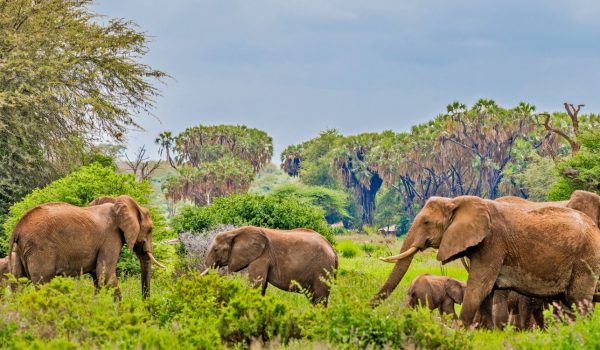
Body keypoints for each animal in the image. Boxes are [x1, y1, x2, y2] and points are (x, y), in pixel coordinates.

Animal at [9, 194, 164, 298]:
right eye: (150, 229)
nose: (145, 305)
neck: (117, 203)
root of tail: (17, 228)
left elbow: (97, 277)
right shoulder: (110, 238)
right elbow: (106, 275)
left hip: (22, 250)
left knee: (18, 283)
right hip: (40, 249)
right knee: (43, 283)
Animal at [200, 226, 338, 304]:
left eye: (216, 250)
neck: (234, 232)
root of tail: (333, 250)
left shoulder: (262, 256)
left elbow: (257, 284)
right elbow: (262, 286)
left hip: (322, 268)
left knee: (320, 298)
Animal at [372, 196, 600, 326]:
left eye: (426, 222)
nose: (369, 308)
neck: (457, 201)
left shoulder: (492, 244)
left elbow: (478, 287)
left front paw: (460, 332)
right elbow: (486, 293)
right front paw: (488, 334)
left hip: (586, 260)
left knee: (579, 301)